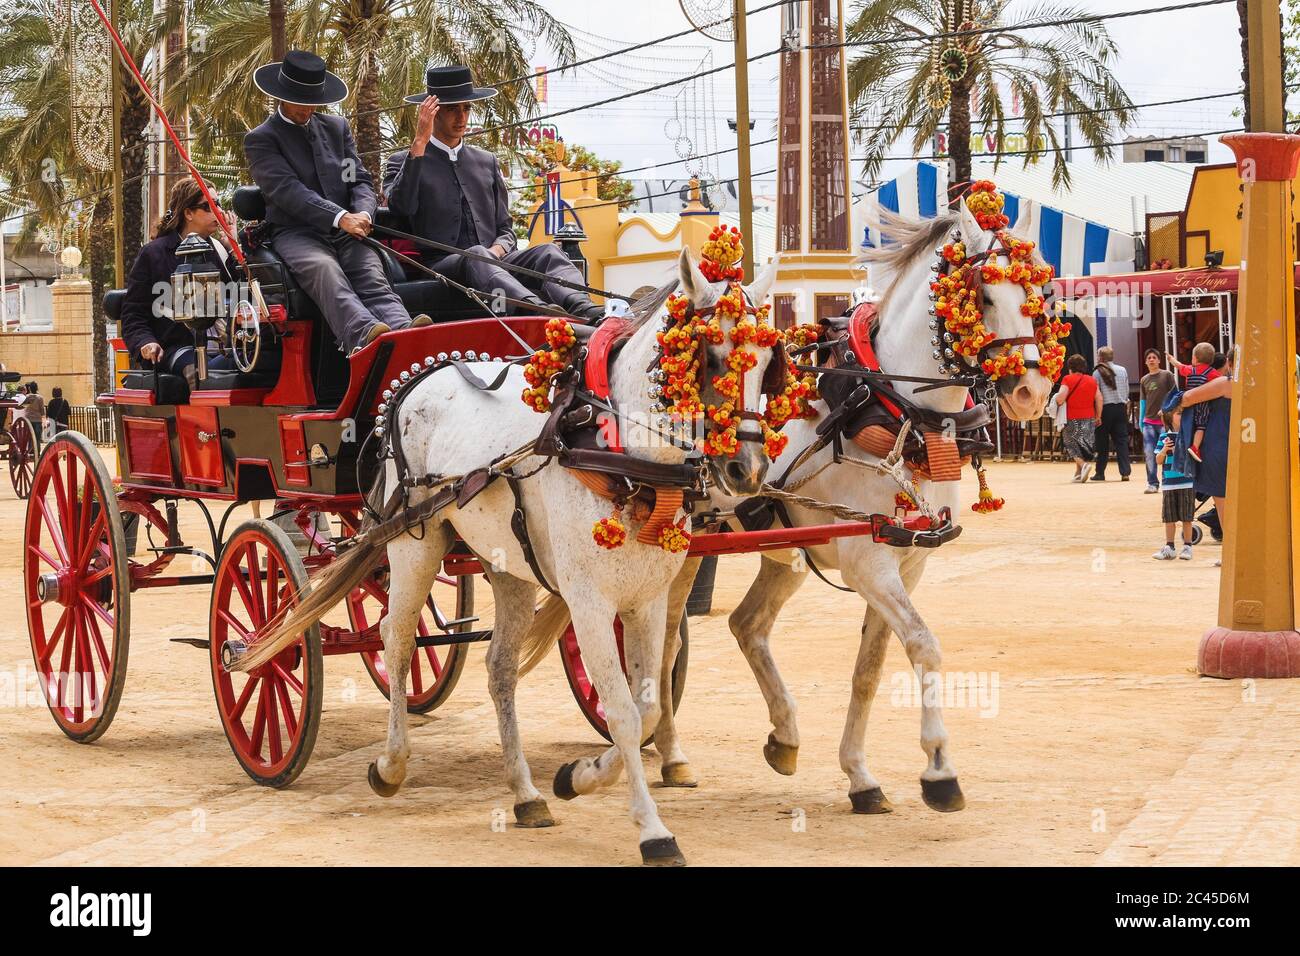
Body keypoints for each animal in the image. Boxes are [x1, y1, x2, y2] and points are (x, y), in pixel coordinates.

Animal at [239, 234, 795, 868]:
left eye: (768, 363)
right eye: (710, 355)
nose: (748, 470)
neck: (619, 453)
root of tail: (418, 377)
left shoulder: (647, 600)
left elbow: (647, 705)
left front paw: (577, 777)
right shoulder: (589, 600)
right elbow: (624, 712)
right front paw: (652, 830)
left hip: (508, 567)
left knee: (499, 667)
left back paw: (526, 793)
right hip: (412, 543)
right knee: (395, 641)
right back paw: (390, 764)